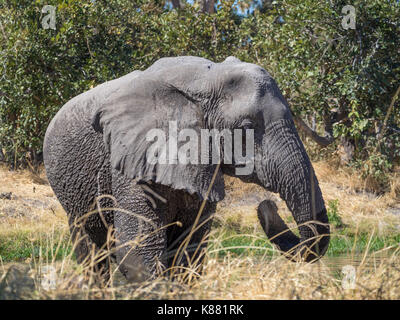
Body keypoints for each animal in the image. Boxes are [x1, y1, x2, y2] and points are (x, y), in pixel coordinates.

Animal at [44, 56, 332, 284]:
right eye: (247, 127)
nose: (265, 206)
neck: (206, 78)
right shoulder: (133, 155)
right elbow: (137, 252)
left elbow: (188, 251)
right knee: (91, 250)